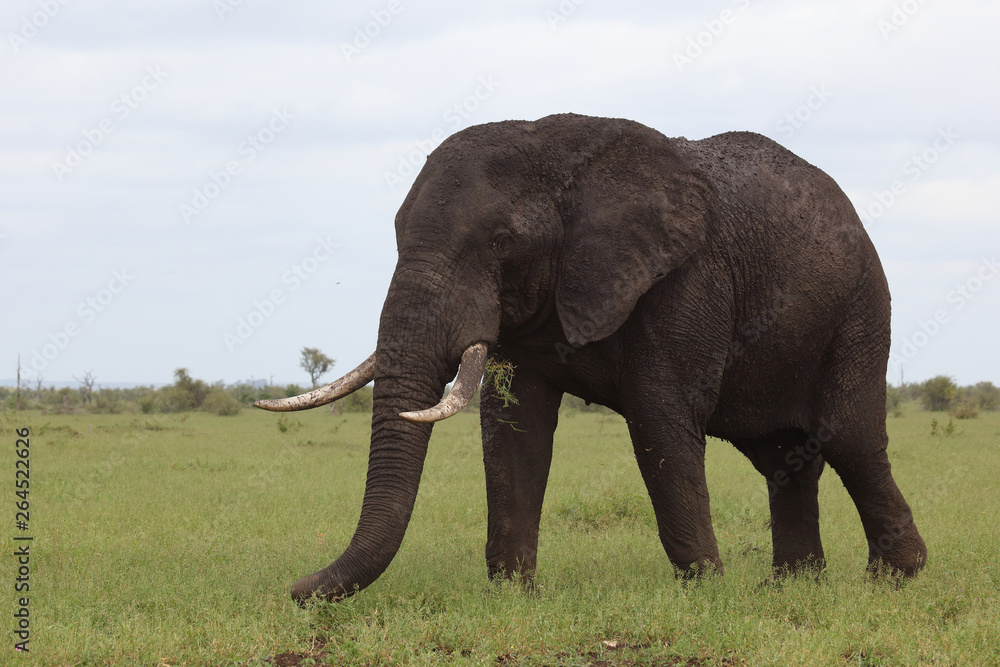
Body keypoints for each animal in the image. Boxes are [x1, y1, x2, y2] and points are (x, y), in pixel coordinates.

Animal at [255, 113, 927, 603]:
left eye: (501, 242)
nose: (294, 589)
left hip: (861, 308)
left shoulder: (687, 277)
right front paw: (514, 596)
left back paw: (895, 579)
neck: (563, 152)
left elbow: (660, 416)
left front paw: (706, 593)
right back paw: (793, 586)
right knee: (786, 459)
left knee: (849, 438)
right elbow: (513, 426)